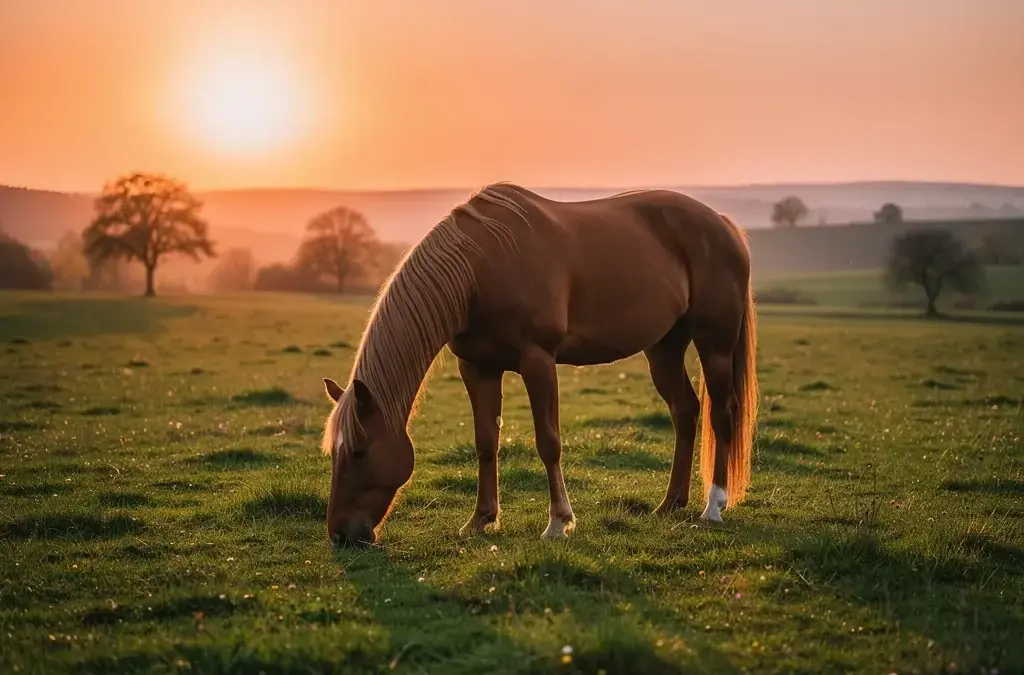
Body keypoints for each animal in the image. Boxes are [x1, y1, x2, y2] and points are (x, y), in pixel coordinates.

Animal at [320, 182, 758, 546]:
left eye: (359, 450)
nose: (340, 535)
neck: (479, 268)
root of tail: (722, 224)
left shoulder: (538, 362)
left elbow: (548, 442)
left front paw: (558, 523)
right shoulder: (478, 368)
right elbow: (485, 442)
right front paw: (480, 520)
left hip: (715, 345)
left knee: (722, 414)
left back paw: (713, 507)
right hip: (664, 349)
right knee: (685, 412)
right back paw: (670, 505)